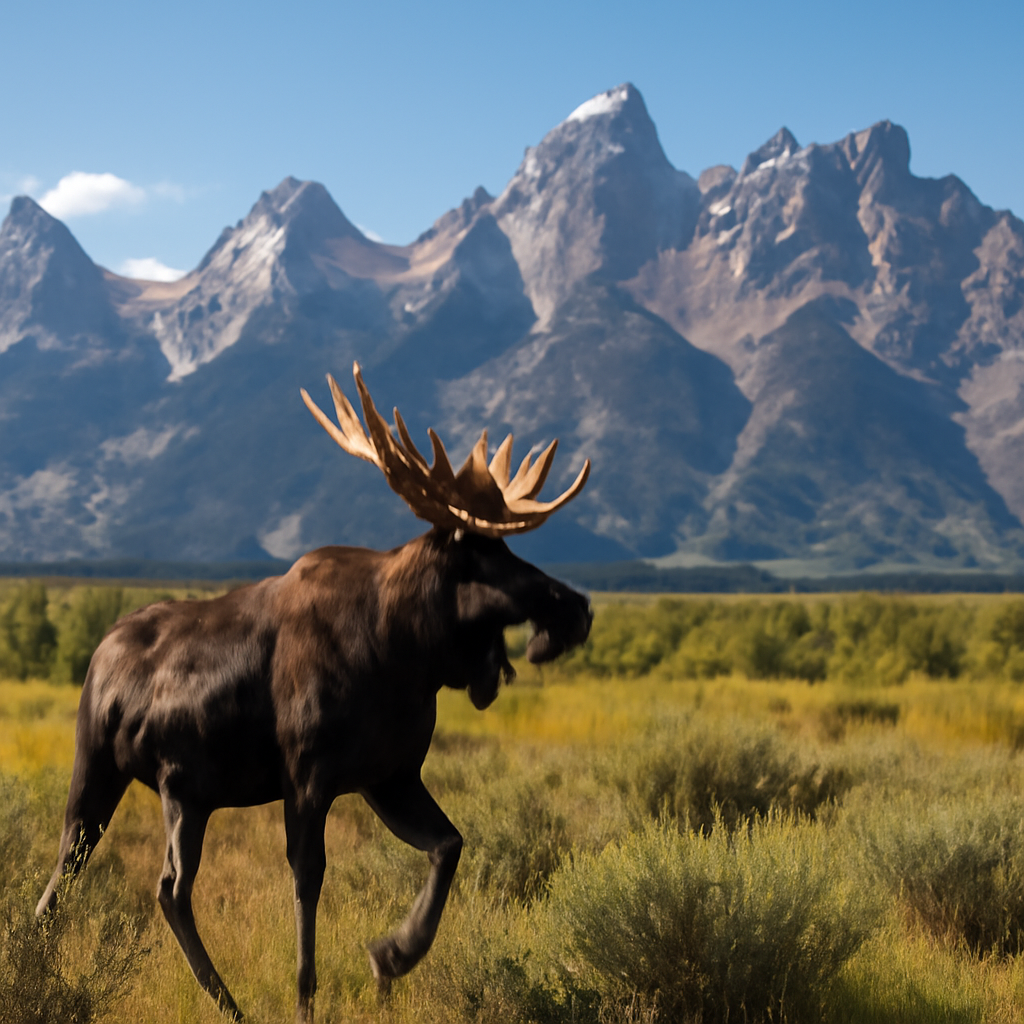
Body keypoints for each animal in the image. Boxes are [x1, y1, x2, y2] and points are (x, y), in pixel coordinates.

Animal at [37, 363, 593, 1023]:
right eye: (482, 554)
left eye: (510, 547)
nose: (577, 607)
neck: (404, 653)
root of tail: (98, 656)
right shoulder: (308, 776)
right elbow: (308, 880)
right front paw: (310, 996)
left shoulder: (390, 776)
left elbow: (449, 844)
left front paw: (392, 955)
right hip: (125, 773)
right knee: (157, 885)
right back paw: (223, 1003)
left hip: (177, 792)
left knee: (84, 881)